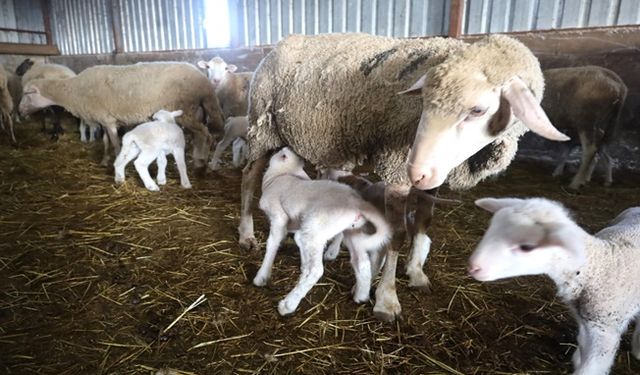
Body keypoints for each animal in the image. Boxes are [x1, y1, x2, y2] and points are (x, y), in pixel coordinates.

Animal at [18, 62, 224, 168]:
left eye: (27, 94)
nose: (19, 112)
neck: (74, 91)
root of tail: (203, 81)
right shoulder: (105, 120)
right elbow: (105, 142)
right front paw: (104, 160)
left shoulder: (108, 121)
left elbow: (116, 144)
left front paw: (117, 162)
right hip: (195, 111)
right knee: (199, 134)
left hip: (185, 110)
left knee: (205, 134)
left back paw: (201, 162)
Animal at [254, 148, 390, 318]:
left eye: (281, 153)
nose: (281, 148)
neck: (278, 176)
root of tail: (357, 203)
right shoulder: (299, 225)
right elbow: (299, 246)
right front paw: (302, 267)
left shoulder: (278, 216)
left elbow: (272, 244)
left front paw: (262, 276)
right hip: (349, 230)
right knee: (362, 262)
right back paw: (361, 295)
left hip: (317, 227)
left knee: (317, 270)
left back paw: (289, 304)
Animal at [468, 197, 640, 375]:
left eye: (527, 247)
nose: (473, 266)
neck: (599, 265)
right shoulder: (585, 322)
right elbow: (582, 345)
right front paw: (577, 359)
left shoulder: (605, 332)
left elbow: (591, 368)